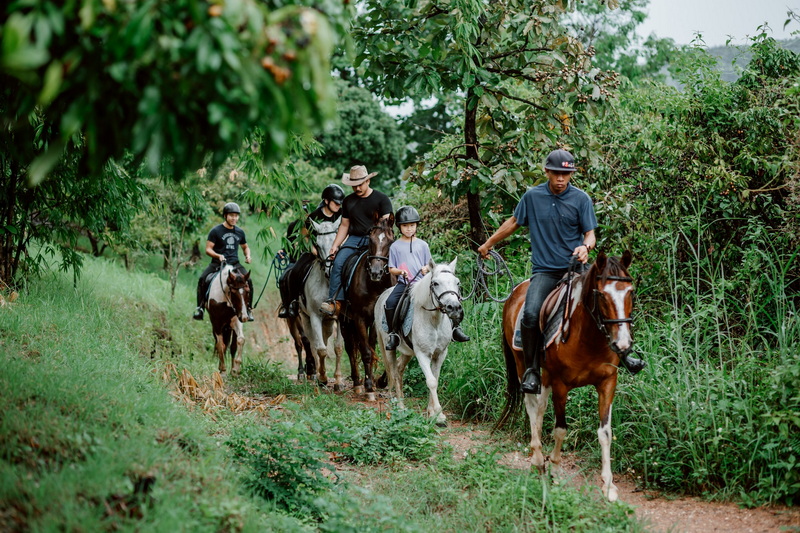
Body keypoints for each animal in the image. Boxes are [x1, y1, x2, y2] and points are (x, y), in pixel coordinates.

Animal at [338, 212, 394, 400]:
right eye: (371, 239)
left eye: (390, 241)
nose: (376, 272)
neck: (374, 285)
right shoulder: (359, 318)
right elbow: (366, 352)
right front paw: (368, 387)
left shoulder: (376, 320)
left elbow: (373, 346)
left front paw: (377, 382)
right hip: (344, 321)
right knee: (350, 348)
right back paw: (357, 383)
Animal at [372, 258, 460, 424]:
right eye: (435, 283)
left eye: (457, 282)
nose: (454, 307)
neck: (434, 321)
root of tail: (381, 296)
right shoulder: (422, 354)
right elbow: (431, 381)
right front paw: (439, 415)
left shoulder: (440, 354)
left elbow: (435, 379)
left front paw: (432, 412)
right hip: (389, 348)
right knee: (393, 373)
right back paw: (399, 407)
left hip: (407, 352)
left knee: (399, 369)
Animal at [496, 251, 636, 500]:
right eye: (601, 295)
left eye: (631, 292)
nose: (622, 344)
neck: (588, 338)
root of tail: (516, 291)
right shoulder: (561, 385)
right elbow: (561, 429)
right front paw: (555, 469)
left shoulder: (608, 382)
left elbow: (605, 432)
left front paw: (609, 485)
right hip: (523, 363)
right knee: (532, 405)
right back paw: (538, 459)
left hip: (546, 374)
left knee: (540, 407)